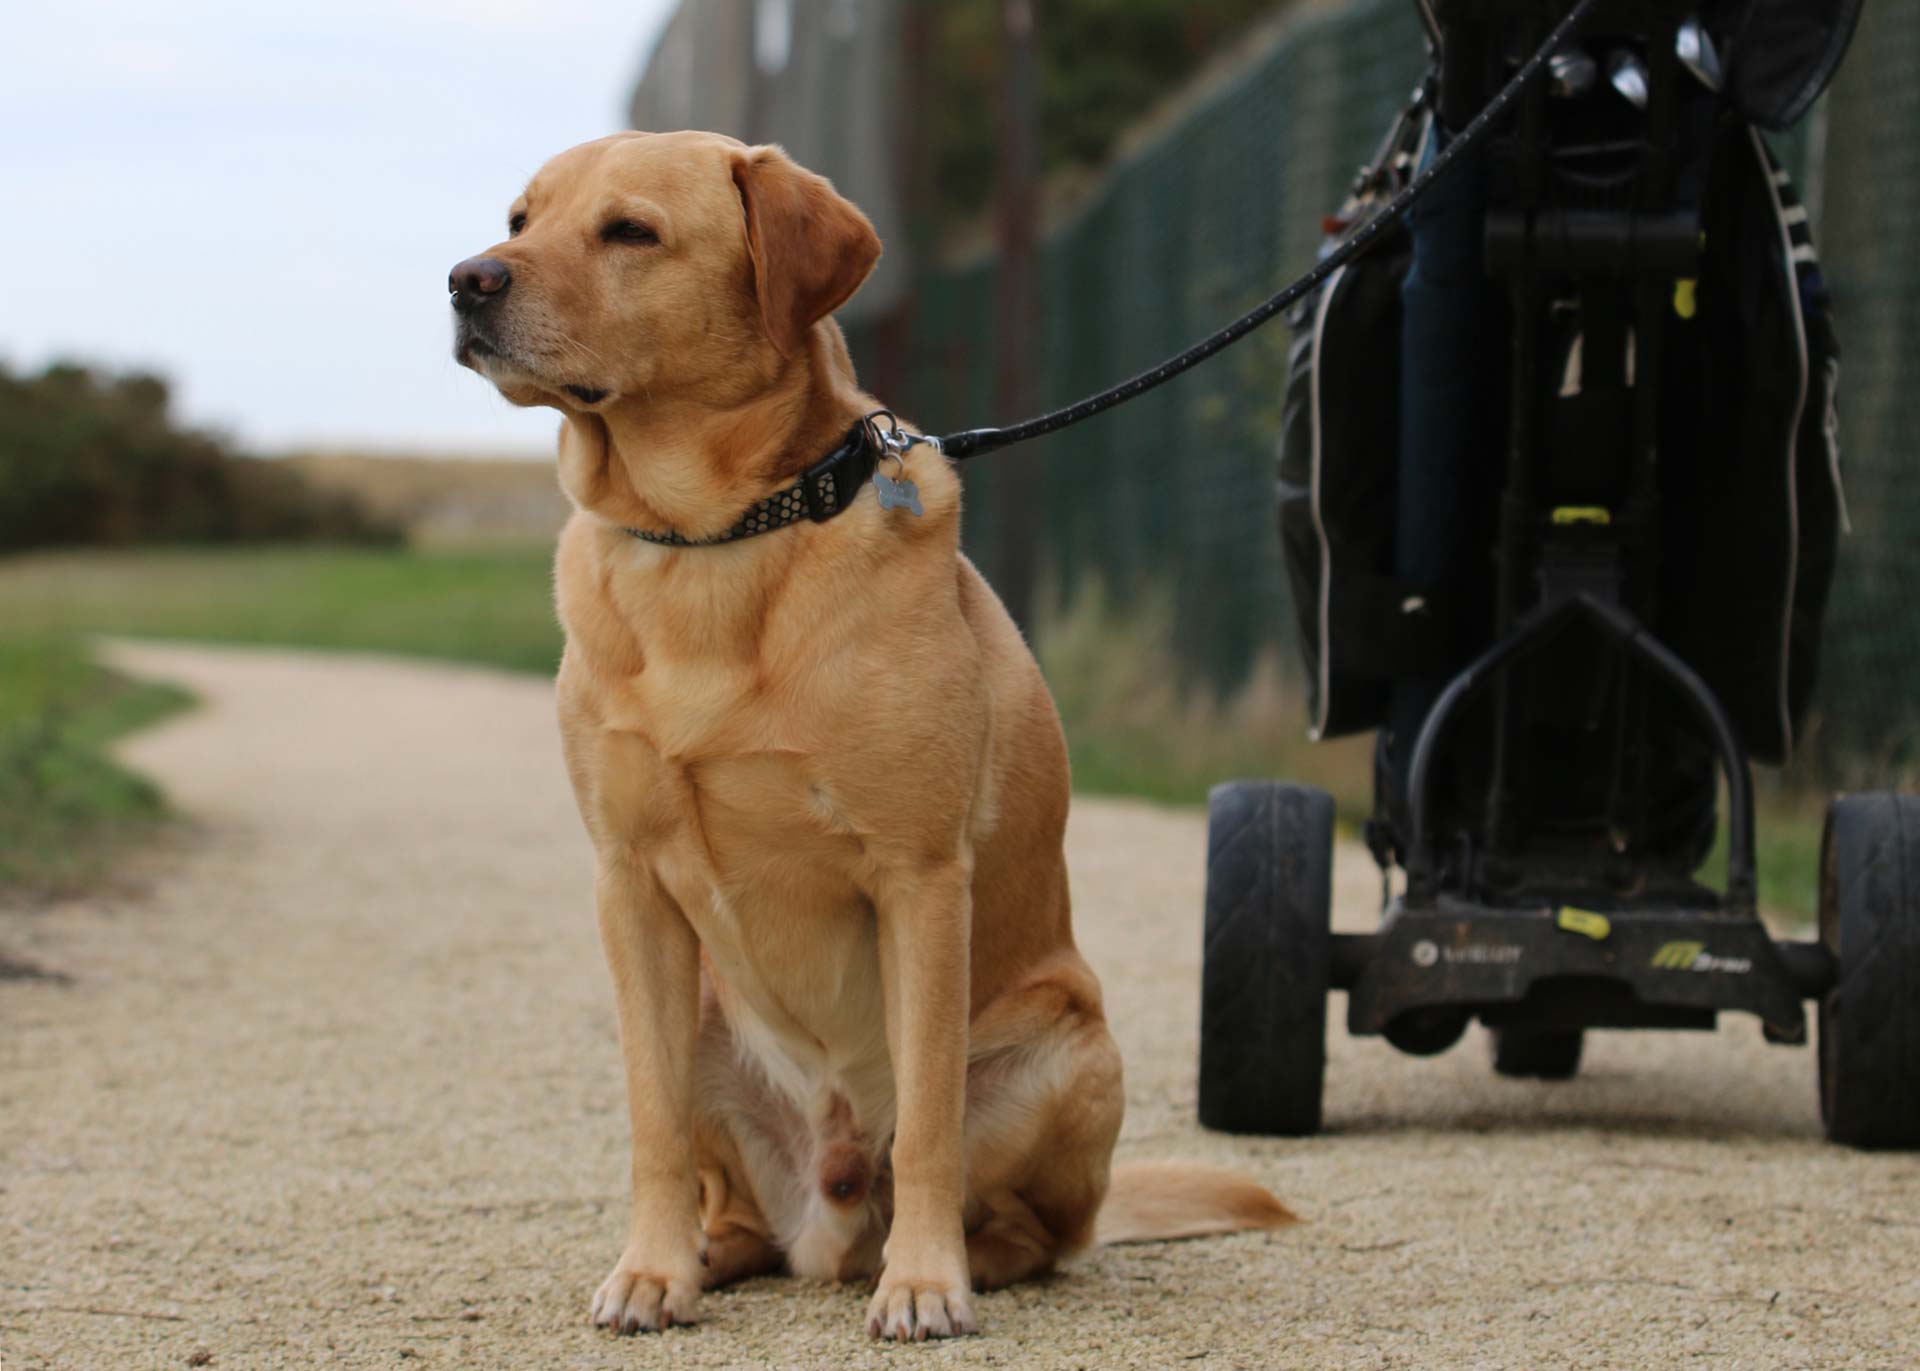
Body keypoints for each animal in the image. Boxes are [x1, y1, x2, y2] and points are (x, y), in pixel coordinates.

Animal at [449, 130, 1290, 1336]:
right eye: (520, 220)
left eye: (630, 231)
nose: (467, 280)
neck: (712, 542)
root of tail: (830, 1221)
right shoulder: (628, 886)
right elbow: (651, 1121)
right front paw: (651, 1268)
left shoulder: (920, 878)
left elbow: (930, 1122)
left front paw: (927, 1282)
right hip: (712, 1021)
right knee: (738, 1198)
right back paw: (714, 1251)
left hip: (1070, 1052)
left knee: (1042, 1229)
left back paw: (960, 1258)